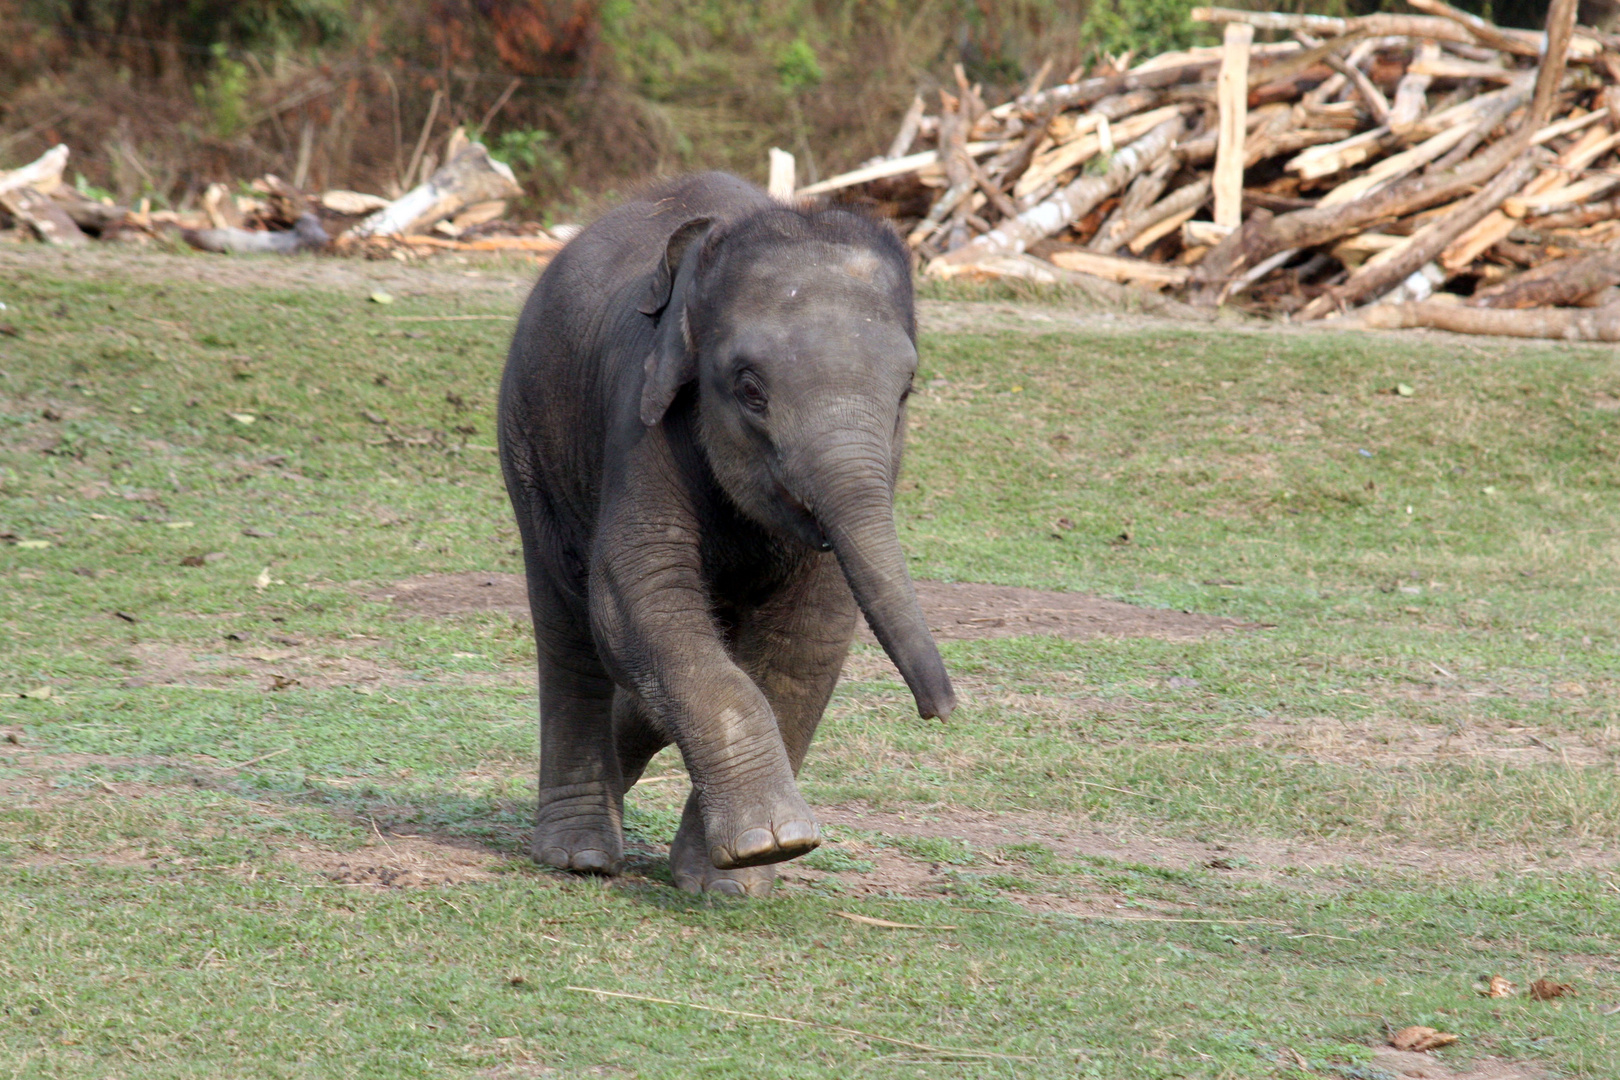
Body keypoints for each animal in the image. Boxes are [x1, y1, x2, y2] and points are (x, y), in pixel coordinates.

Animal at [492, 170, 946, 893]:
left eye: (905, 393)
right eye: (750, 389)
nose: (940, 709)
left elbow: (810, 633)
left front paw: (731, 879)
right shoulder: (640, 413)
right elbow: (635, 597)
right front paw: (771, 842)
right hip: (530, 436)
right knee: (568, 621)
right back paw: (579, 855)